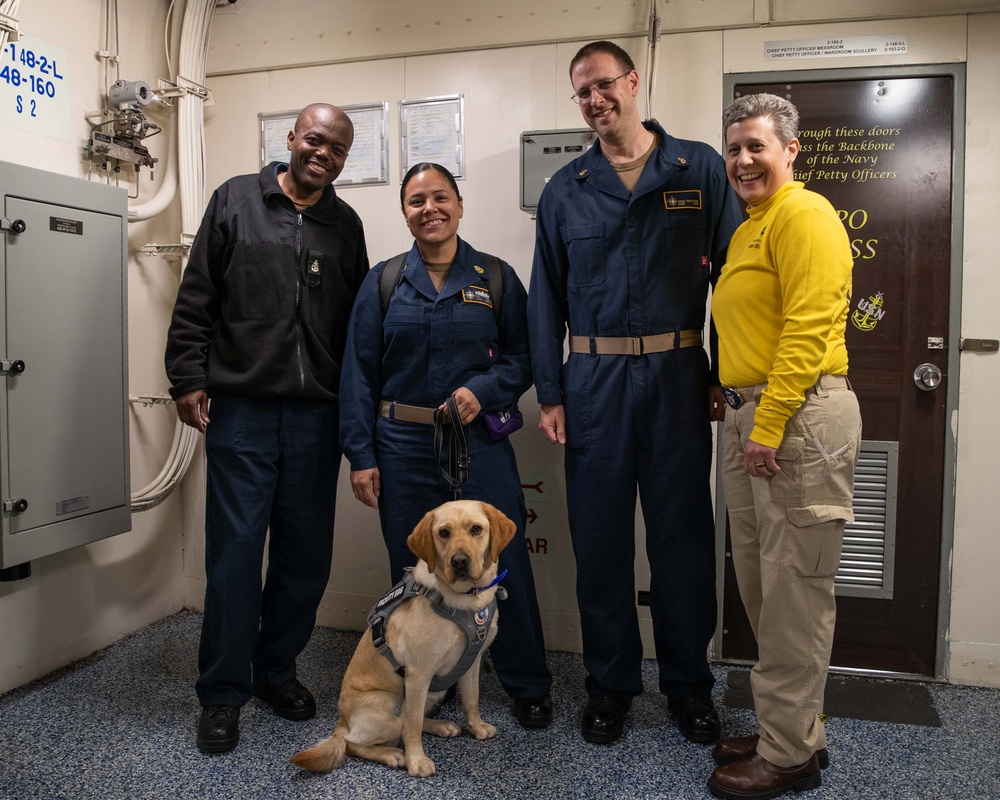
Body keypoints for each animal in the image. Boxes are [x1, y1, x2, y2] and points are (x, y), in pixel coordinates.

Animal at [290, 500, 516, 776]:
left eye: (476, 529)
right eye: (444, 533)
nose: (460, 561)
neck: (466, 599)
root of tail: (342, 721)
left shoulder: (471, 661)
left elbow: (471, 699)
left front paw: (477, 726)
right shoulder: (418, 673)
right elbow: (413, 727)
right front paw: (416, 760)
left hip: (430, 693)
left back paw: (440, 726)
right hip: (392, 707)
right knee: (354, 742)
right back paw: (392, 754)